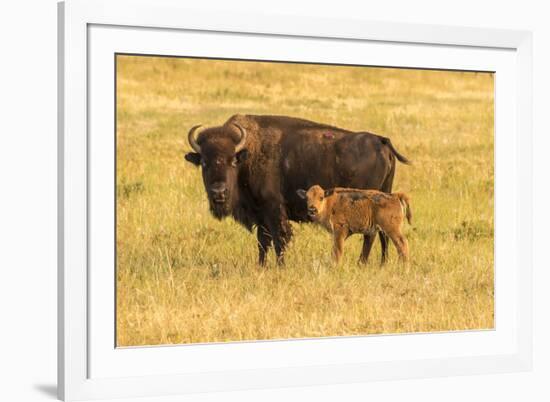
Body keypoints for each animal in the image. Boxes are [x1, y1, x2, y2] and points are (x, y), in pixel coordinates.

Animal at [185, 114, 410, 264]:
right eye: (204, 162)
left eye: (232, 161)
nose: (218, 192)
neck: (248, 154)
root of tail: (380, 141)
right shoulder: (261, 214)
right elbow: (263, 242)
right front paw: (261, 266)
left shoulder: (273, 209)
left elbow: (279, 239)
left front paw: (280, 266)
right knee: (383, 235)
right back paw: (381, 264)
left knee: (371, 235)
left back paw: (362, 263)